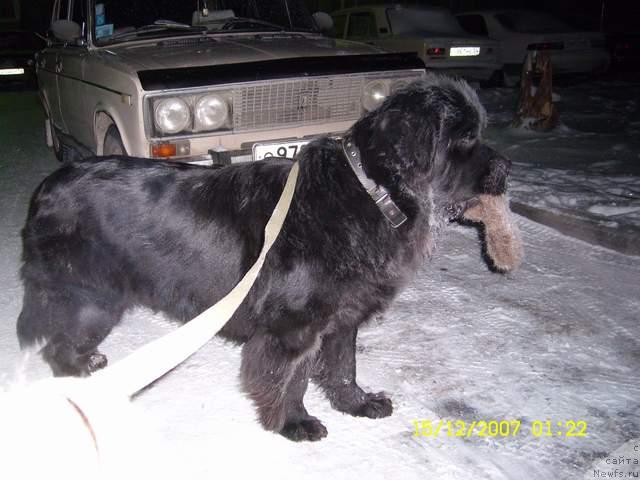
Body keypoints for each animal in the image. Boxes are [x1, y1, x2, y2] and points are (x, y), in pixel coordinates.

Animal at [17, 77, 524, 440]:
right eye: (465, 139)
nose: (508, 167)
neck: (371, 192)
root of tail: (47, 186)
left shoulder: (343, 316)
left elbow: (343, 367)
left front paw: (357, 405)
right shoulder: (292, 326)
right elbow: (291, 378)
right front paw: (293, 423)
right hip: (91, 298)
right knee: (57, 346)